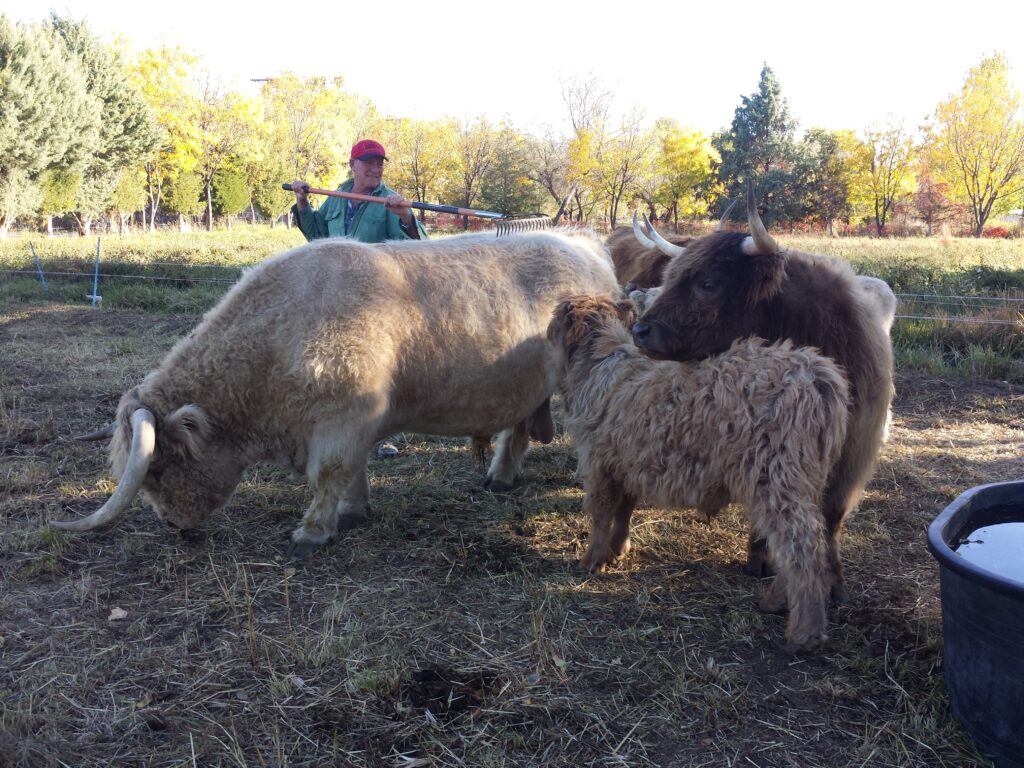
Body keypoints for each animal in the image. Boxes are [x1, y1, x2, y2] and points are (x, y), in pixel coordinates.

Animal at [548, 294, 851, 651]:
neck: (600, 363)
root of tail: (817, 374)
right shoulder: (625, 462)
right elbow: (623, 510)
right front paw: (618, 550)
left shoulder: (598, 463)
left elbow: (600, 513)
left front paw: (592, 561)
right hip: (808, 477)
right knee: (808, 540)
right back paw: (777, 601)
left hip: (777, 476)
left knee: (802, 547)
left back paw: (804, 632)